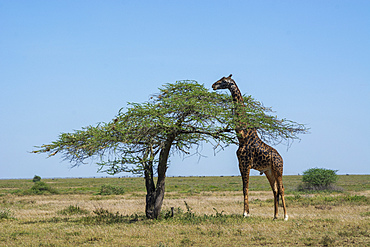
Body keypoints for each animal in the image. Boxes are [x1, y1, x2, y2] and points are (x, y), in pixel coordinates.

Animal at [211, 74, 290, 221]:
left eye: (224, 81)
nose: (213, 85)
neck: (243, 136)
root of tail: (281, 158)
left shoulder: (246, 163)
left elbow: (246, 187)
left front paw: (245, 213)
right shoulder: (240, 163)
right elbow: (244, 188)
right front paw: (246, 212)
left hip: (278, 169)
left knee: (281, 188)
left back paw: (286, 216)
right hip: (269, 171)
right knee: (275, 189)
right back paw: (275, 216)